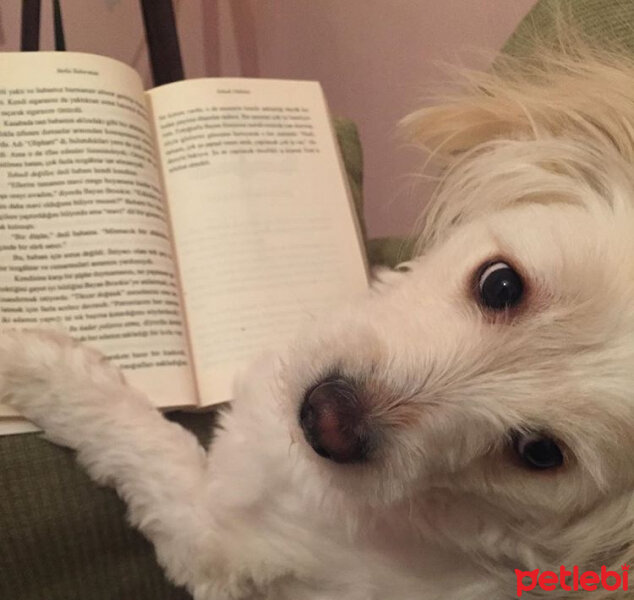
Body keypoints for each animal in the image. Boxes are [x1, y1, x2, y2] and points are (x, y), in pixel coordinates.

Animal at [3, 39, 632, 596]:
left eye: (540, 454)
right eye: (501, 284)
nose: (326, 418)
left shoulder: (216, 539)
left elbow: (136, 435)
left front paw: (28, 360)